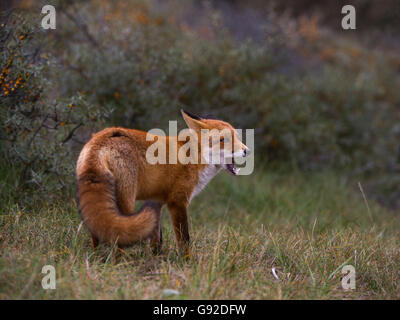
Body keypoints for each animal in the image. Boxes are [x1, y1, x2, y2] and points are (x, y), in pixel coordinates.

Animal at [75, 110, 248, 255]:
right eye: (223, 140)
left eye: (237, 138)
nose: (247, 150)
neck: (194, 157)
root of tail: (99, 140)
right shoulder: (177, 201)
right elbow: (184, 239)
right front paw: (187, 262)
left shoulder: (156, 201)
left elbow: (157, 239)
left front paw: (156, 258)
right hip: (127, 202)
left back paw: (97, 256)